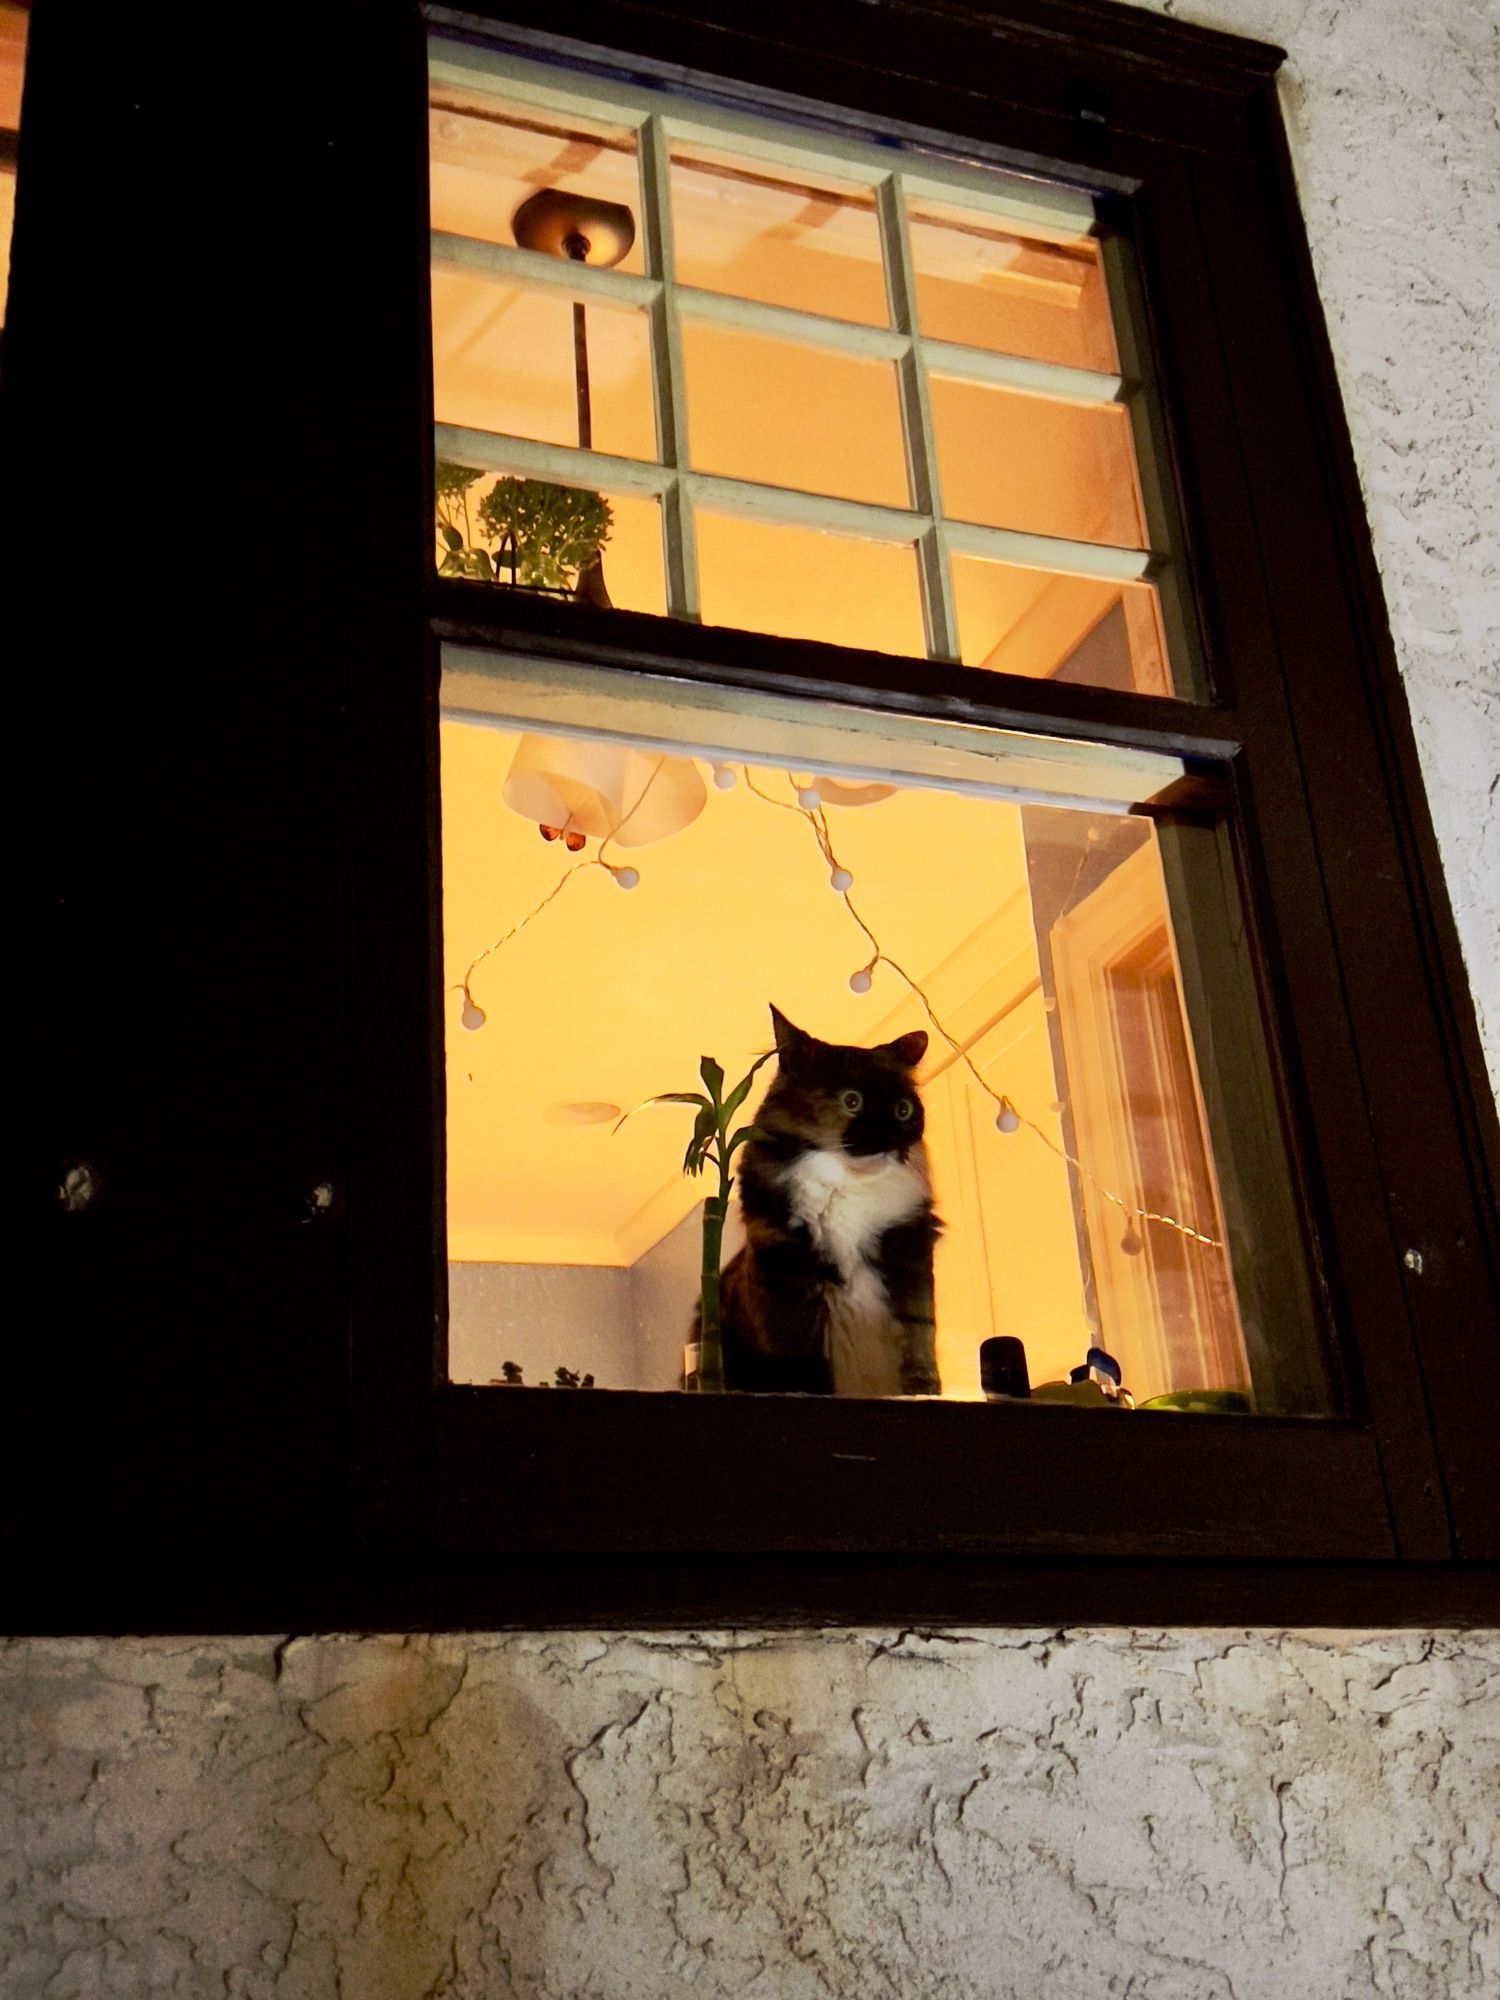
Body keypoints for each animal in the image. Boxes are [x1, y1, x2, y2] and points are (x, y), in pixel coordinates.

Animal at [716, 1008, 940, 1400]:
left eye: (903, 1110)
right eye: (852, 1101)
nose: (889, 1139)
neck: (846, 1187)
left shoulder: (910, 1260)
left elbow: (918, 1344)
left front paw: (922, 1390)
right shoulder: (786, 1283)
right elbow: (804, 1370)